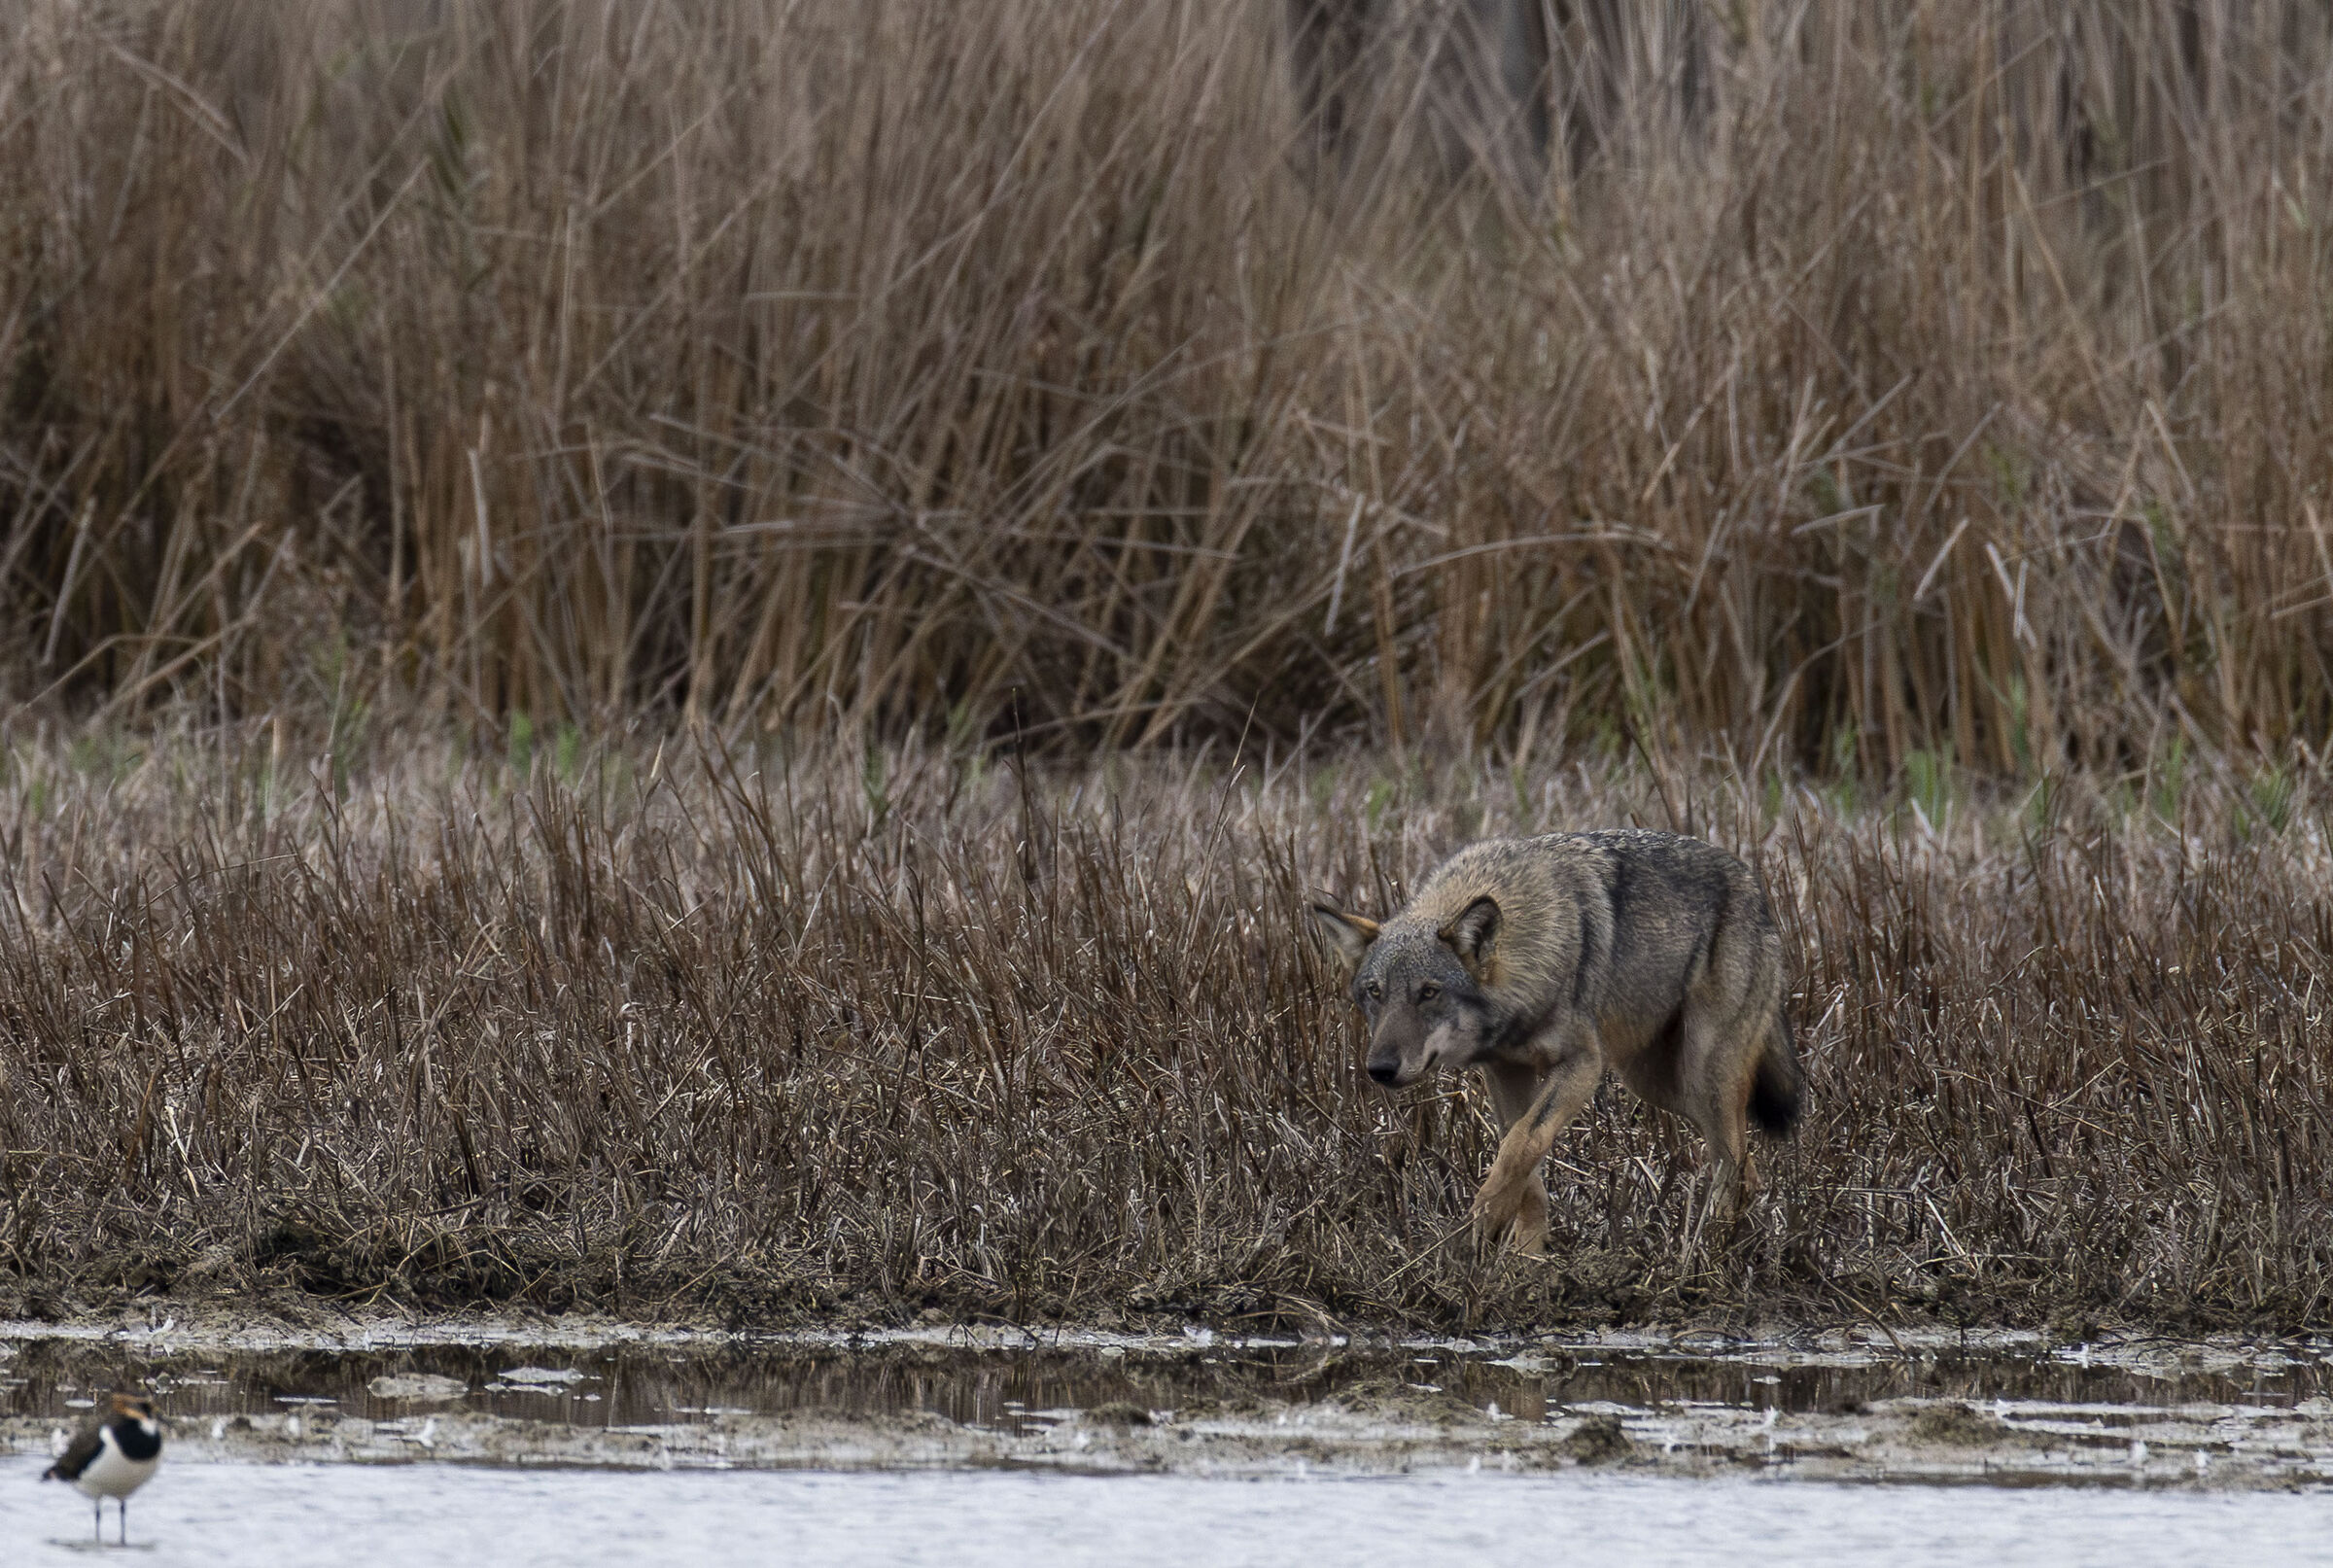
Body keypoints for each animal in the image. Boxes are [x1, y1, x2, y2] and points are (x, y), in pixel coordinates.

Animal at [1309, 830, 1802, 1254]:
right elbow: (1522, 1158)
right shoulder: (1506, 1071)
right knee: (1746, 1167)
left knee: (1734, 1163)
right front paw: (1525, 1259)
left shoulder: (1583, 1065)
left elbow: (1522, 1144)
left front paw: (1483, 1220)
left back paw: (1701, 1254)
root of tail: (1753, 885)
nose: (1380, 1070)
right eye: (1375, 992)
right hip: (1662, 1085)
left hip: (1702, 1076)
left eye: (1428, 992)